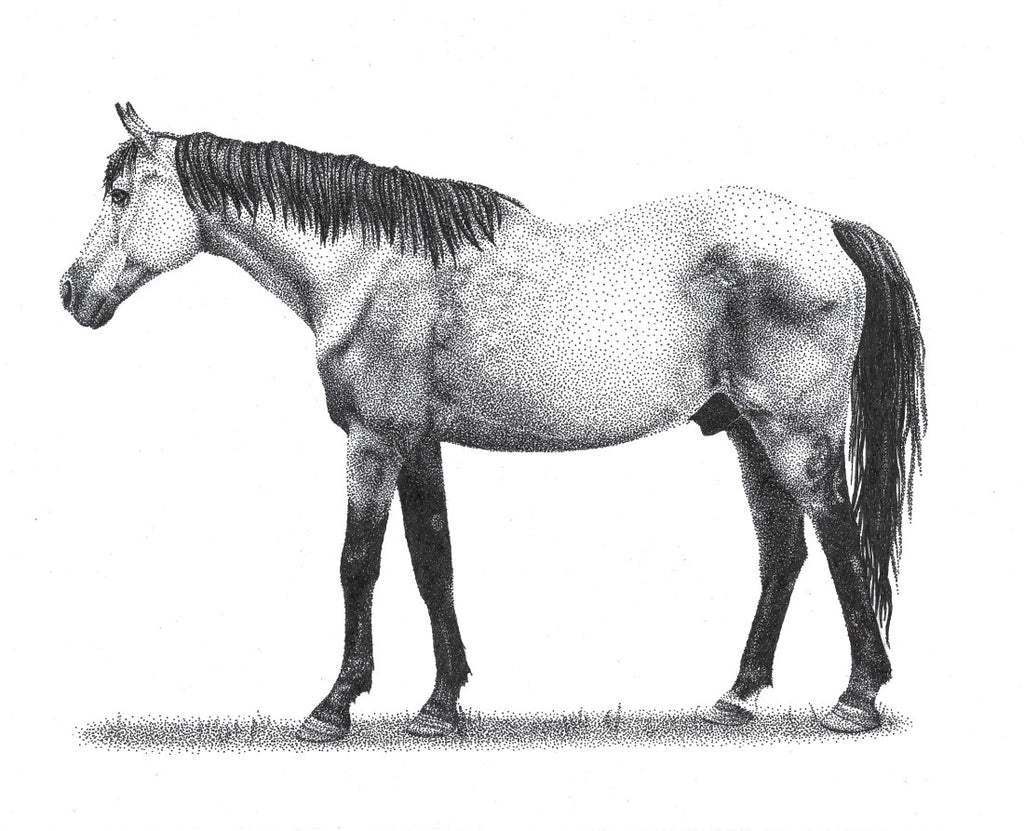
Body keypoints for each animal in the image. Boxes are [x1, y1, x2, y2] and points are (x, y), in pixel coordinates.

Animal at [60, 103, 925, 741]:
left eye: (120, 195)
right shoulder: (417, 444)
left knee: (839, 538)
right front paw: (439, 706)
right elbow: (433, 561)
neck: (367, 267)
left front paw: (333, 706)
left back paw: (855, 699)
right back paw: (736, 695)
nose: (71, 290)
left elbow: (358, 563)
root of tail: (826, 226)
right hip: (747, 431)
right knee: (783, 551)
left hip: (797, 433)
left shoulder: (374, 441)